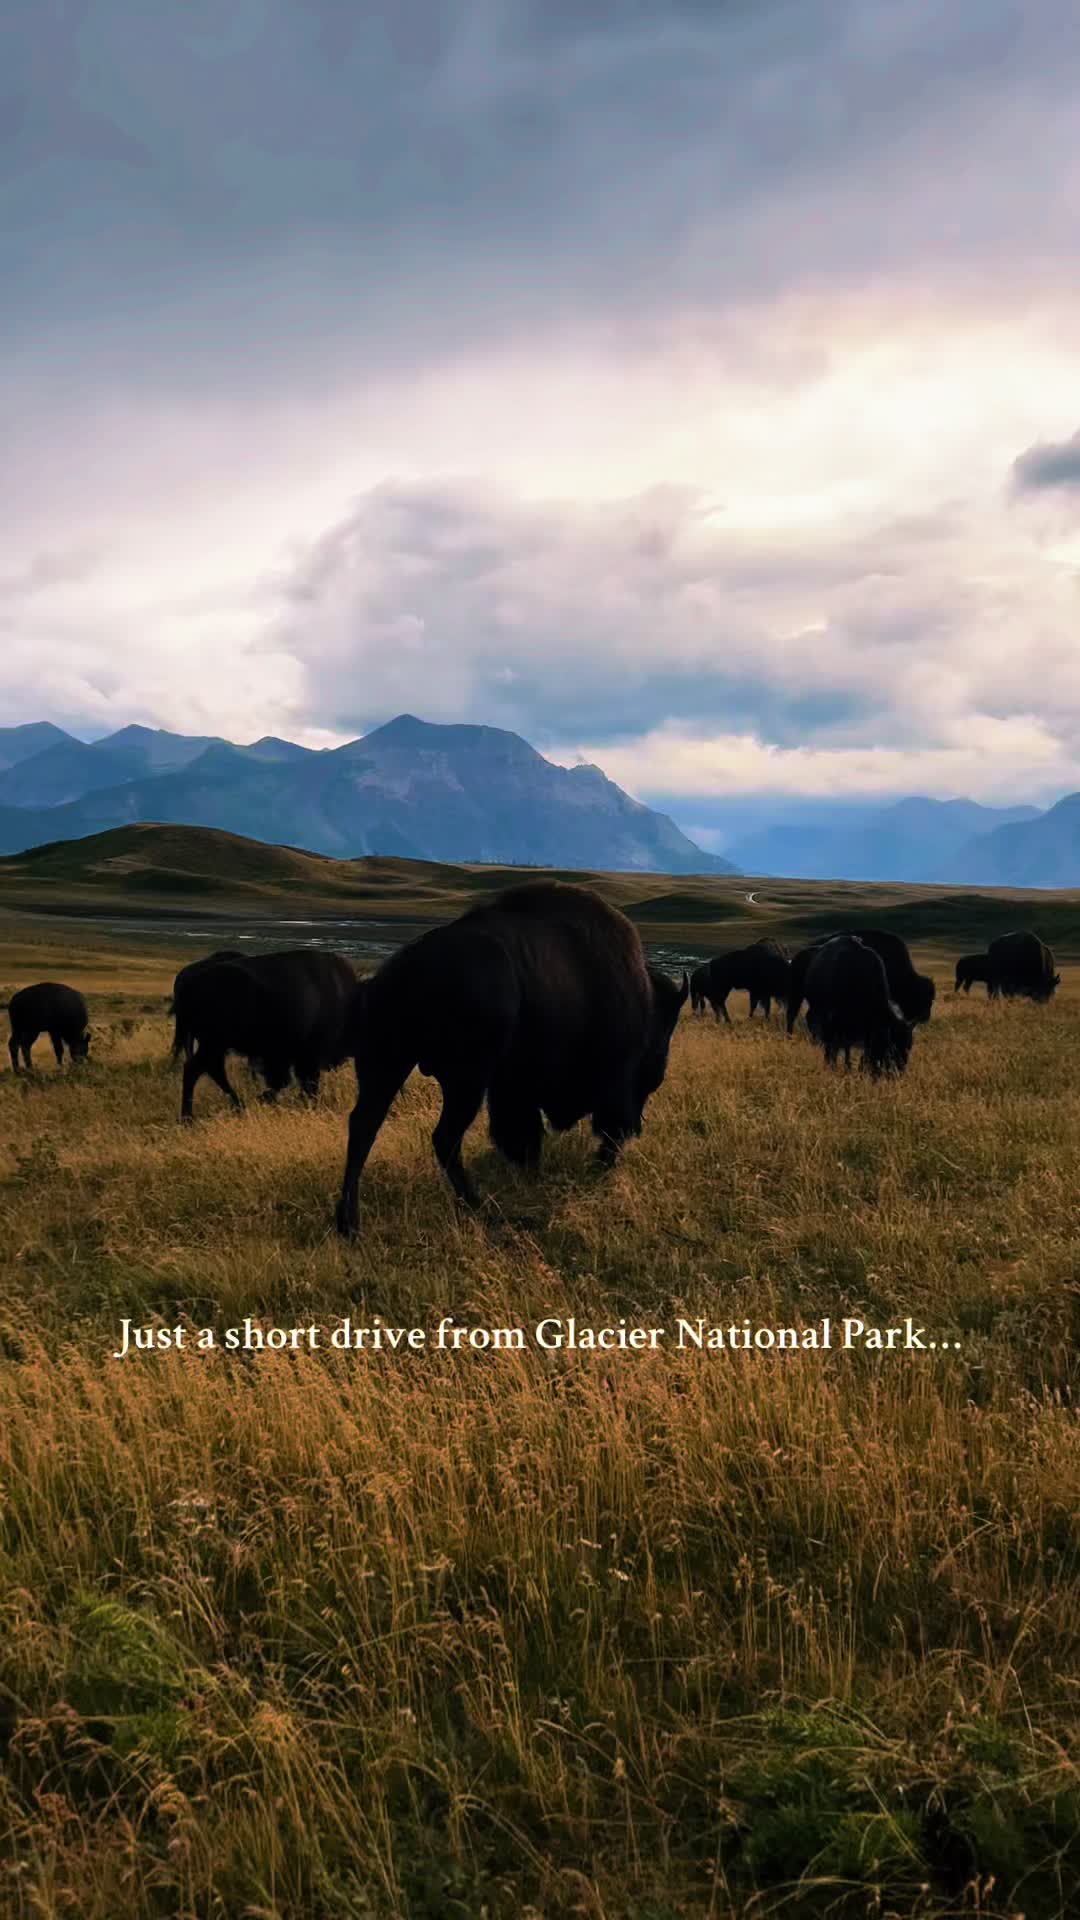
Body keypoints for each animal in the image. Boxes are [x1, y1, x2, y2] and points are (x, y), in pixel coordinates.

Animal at [168, 948, 353, 1121]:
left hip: (214, 1045)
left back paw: (237, 1106)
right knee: (196, 1069)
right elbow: (299, 1082)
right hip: (213, 1044)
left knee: (211, 1070)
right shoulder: (305, 1056)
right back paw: (189, 1118)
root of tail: (188, 983)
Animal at [336, 879, 684, 1236]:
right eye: (655, 1050)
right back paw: (478, 1204)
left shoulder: (514, 1088)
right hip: (464, 1080)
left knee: (364, 1125)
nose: (637, 1128)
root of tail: (406, 970)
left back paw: (349, 1223)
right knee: (443, 1137)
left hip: (387, 1065)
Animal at [799, 940, 907, 1082]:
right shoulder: (833, 1022)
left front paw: (851, 1068)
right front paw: (832, 1067)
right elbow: (835, 1046)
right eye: (891, 1050)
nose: (897, 1075)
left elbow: (850, 1047)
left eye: (908, 1047)